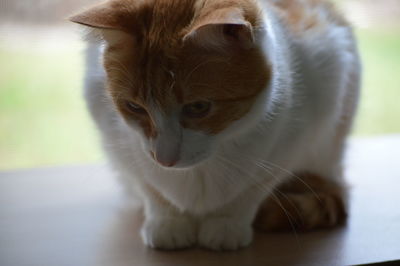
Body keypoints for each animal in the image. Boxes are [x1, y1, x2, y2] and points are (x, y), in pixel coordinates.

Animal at [70, 0, 360, 250]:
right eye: (134, 107)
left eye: (199, 107)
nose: (164, 160)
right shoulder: (120, 144)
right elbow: (150, 186)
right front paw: (168, 222)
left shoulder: (297, 135)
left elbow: (252, 189)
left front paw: (227, 224)